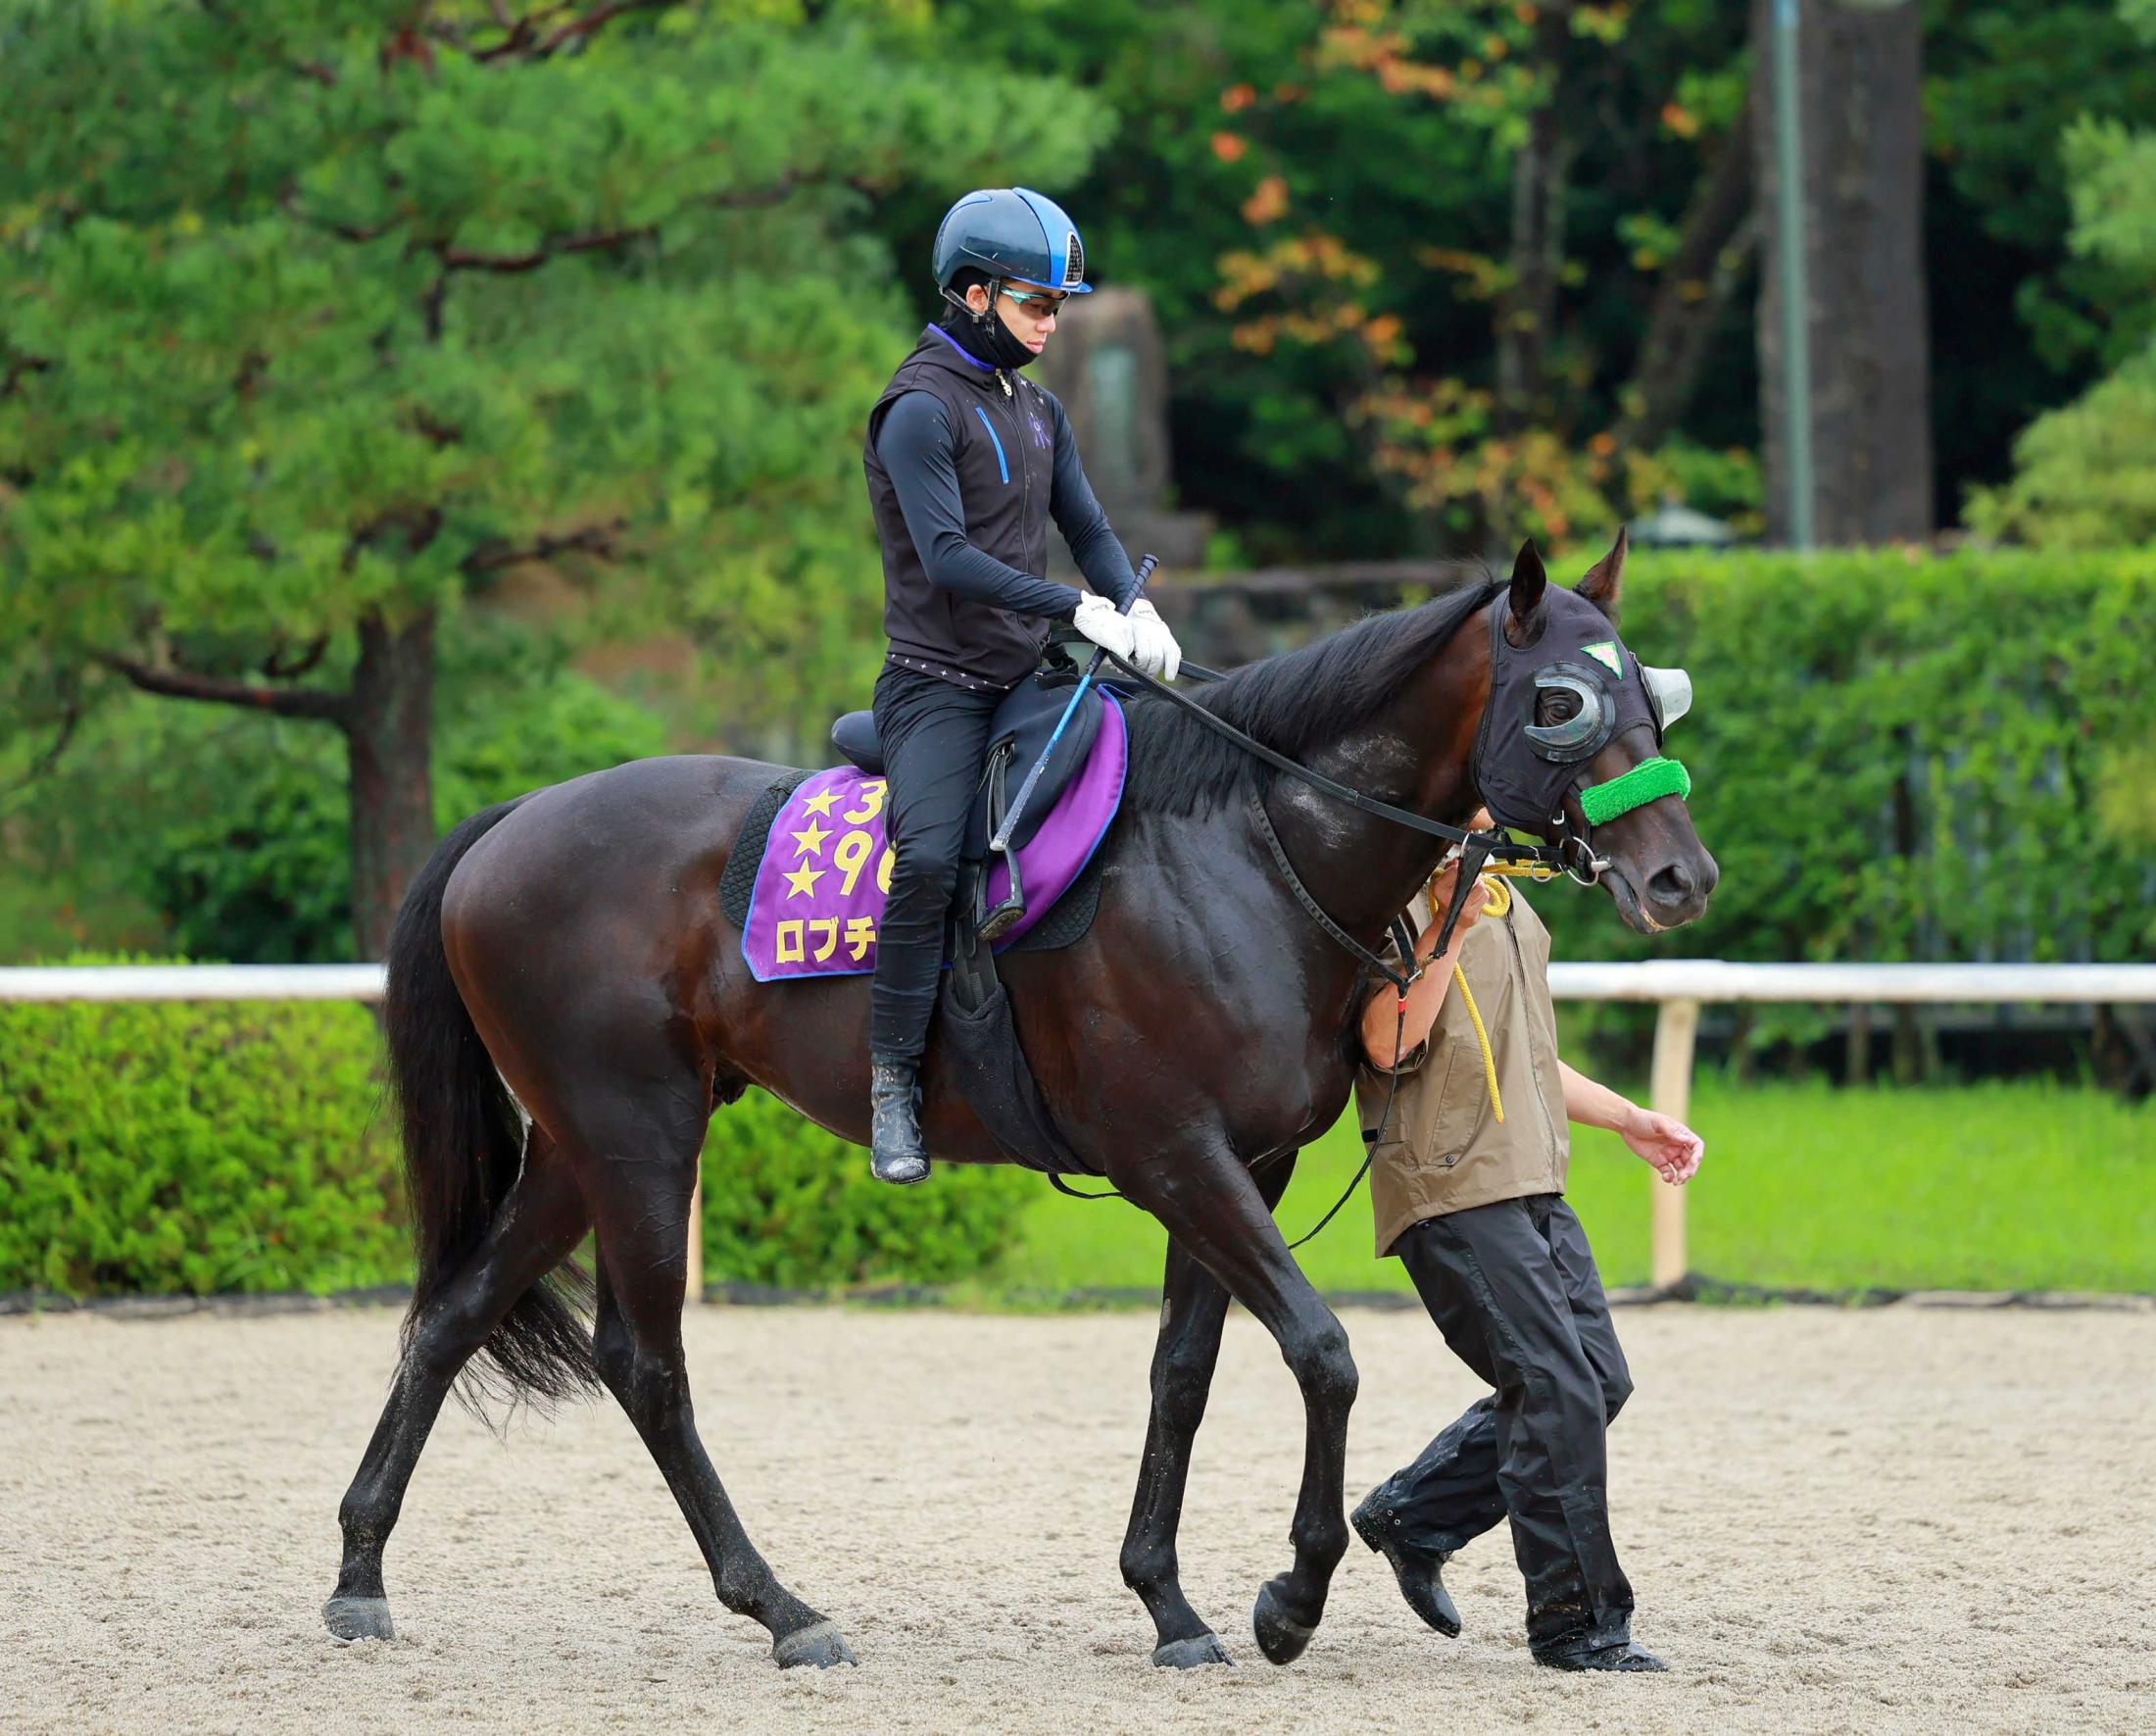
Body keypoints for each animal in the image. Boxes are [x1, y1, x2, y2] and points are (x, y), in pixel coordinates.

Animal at [324, 533, 1716, 1671]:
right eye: (1559, 701)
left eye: (1656, 696)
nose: (1681, 877)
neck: (1240, 846)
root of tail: (514, 817)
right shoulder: (1172, 1153)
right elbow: (1321, 1352)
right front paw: (1290, 1596)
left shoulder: (1243, 1164)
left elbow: (1182, 1371)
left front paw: (1168, 1600)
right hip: (639, 1140)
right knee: (645, 1362)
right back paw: (781, 1607)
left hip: (580, 1146)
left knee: (454, 1314)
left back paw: (359, 1569)